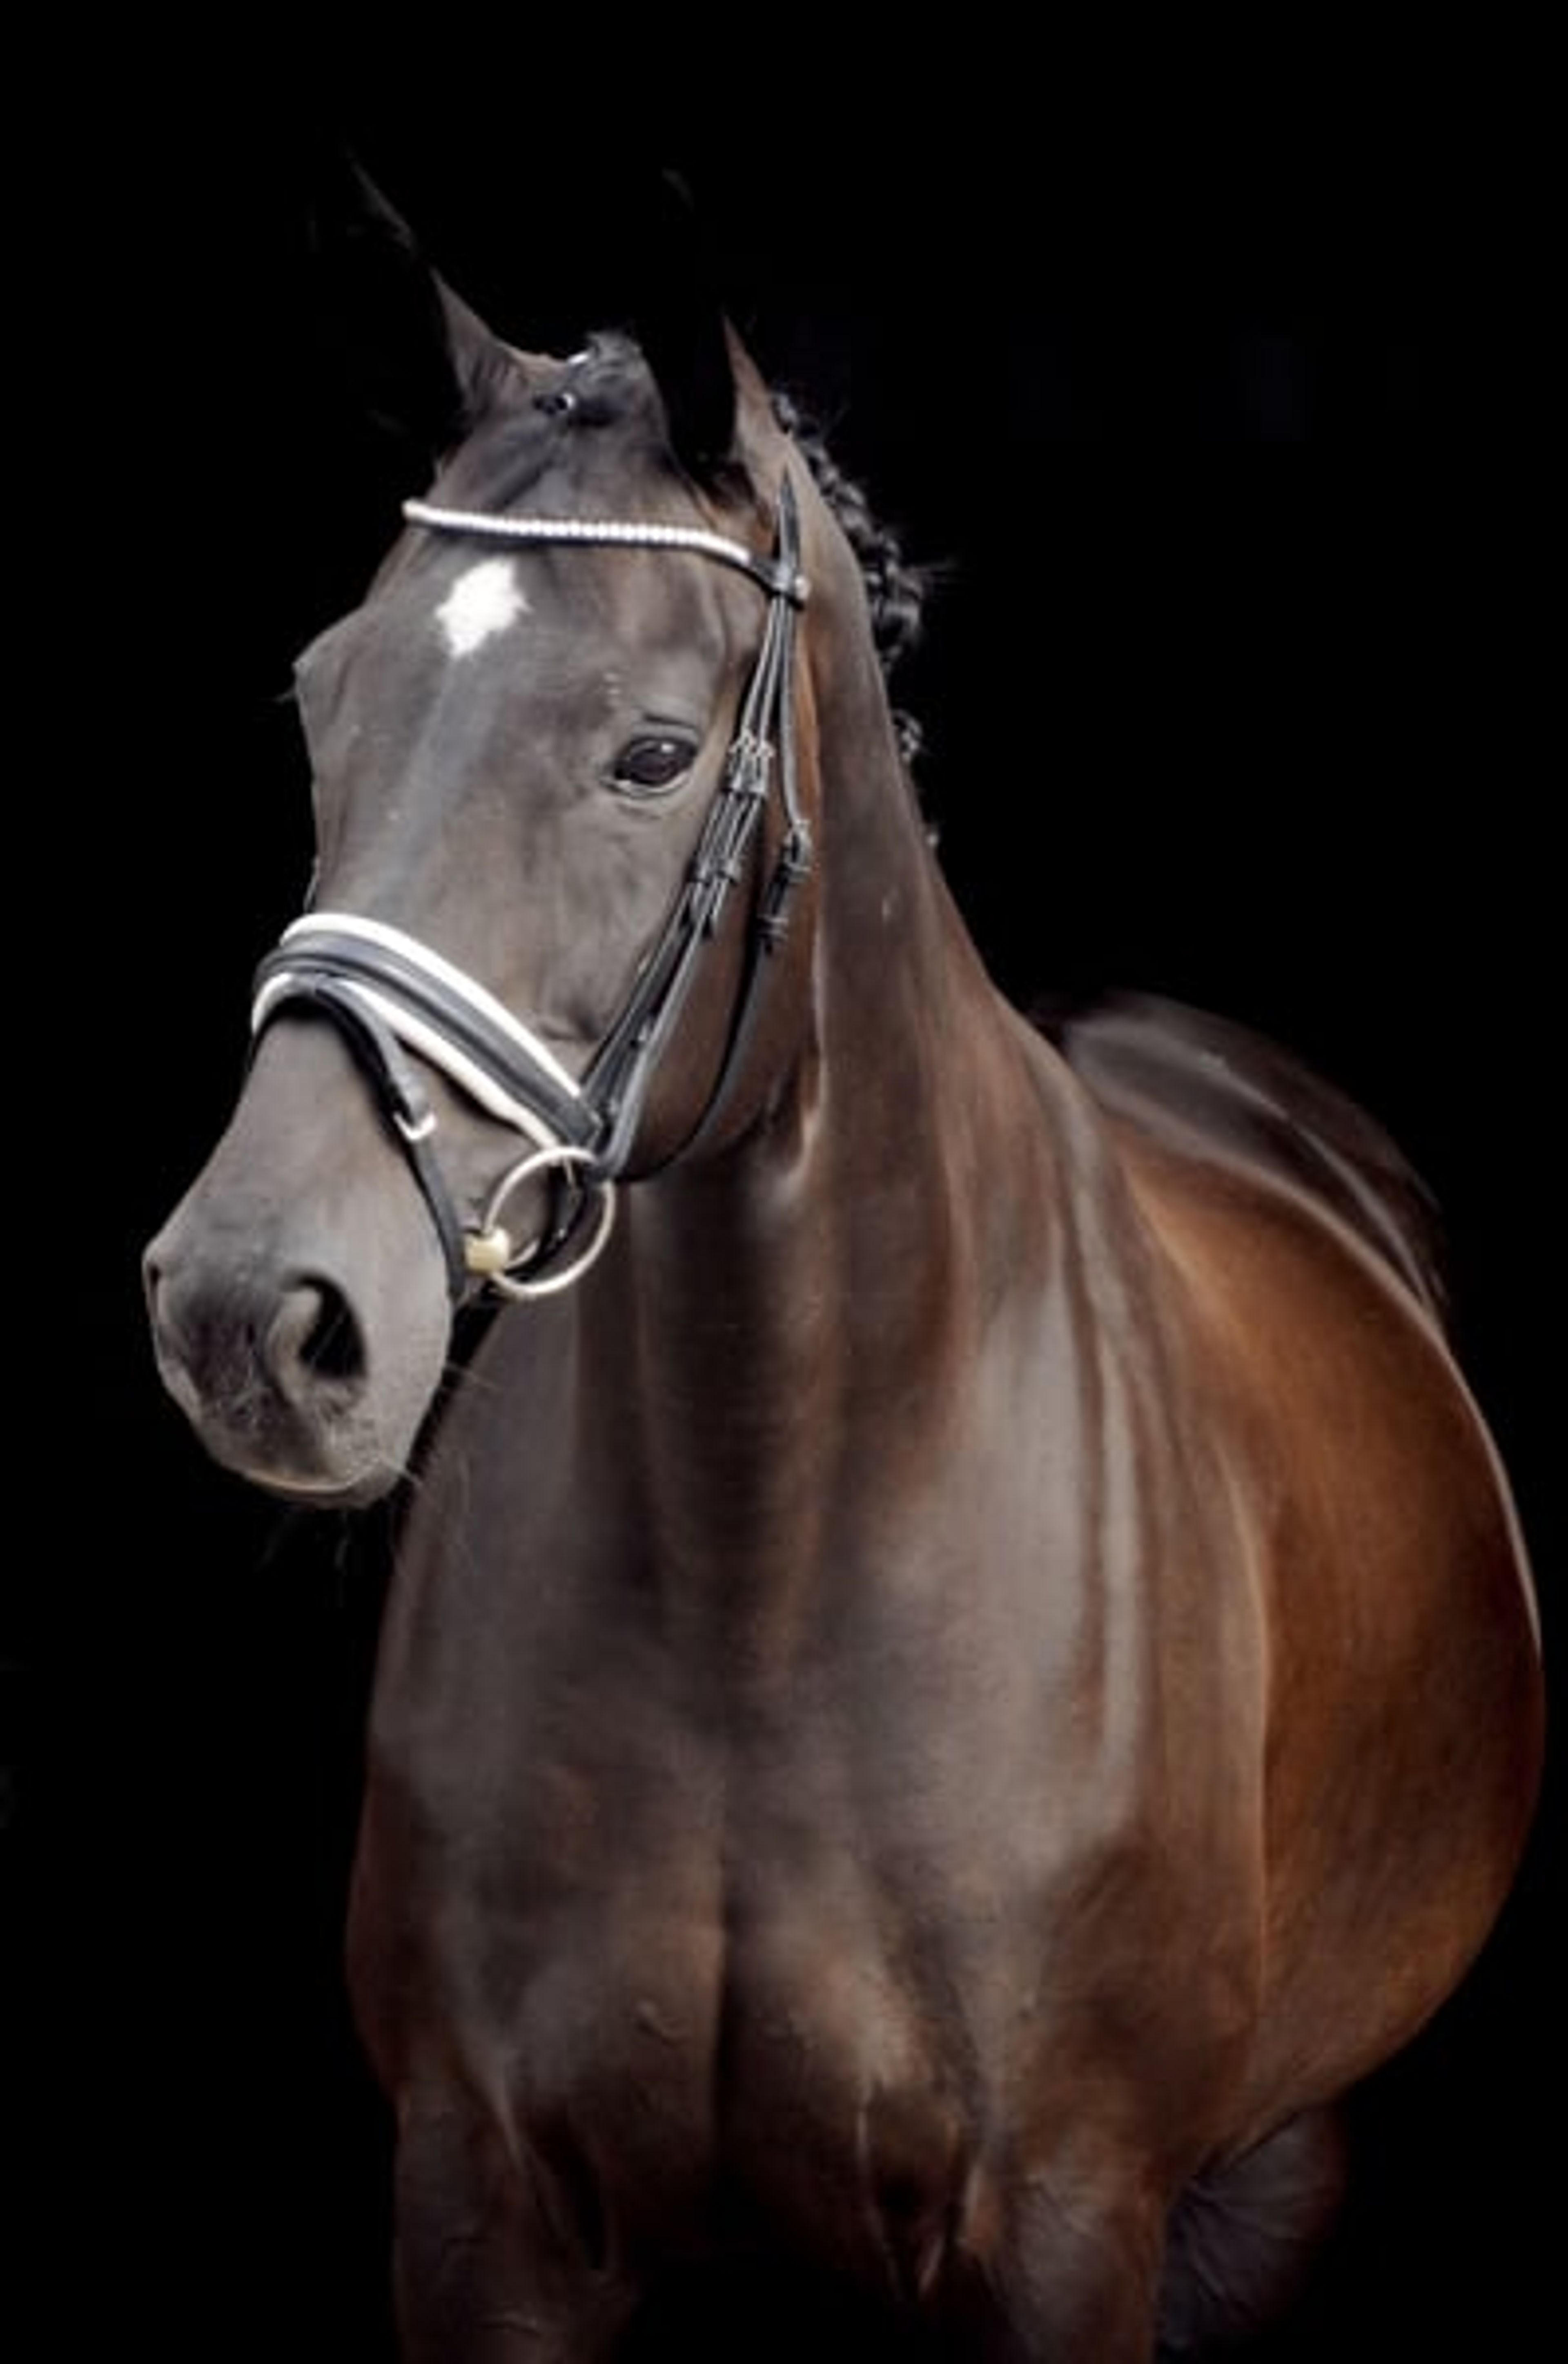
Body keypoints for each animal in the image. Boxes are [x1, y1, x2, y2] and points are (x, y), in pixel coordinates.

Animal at [142, 171, 1543, 2359]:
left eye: (649, 756)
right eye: (321, 695)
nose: (250, 1313)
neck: (774, 1551)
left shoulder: (1070, 2223)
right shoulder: (481, 2217)